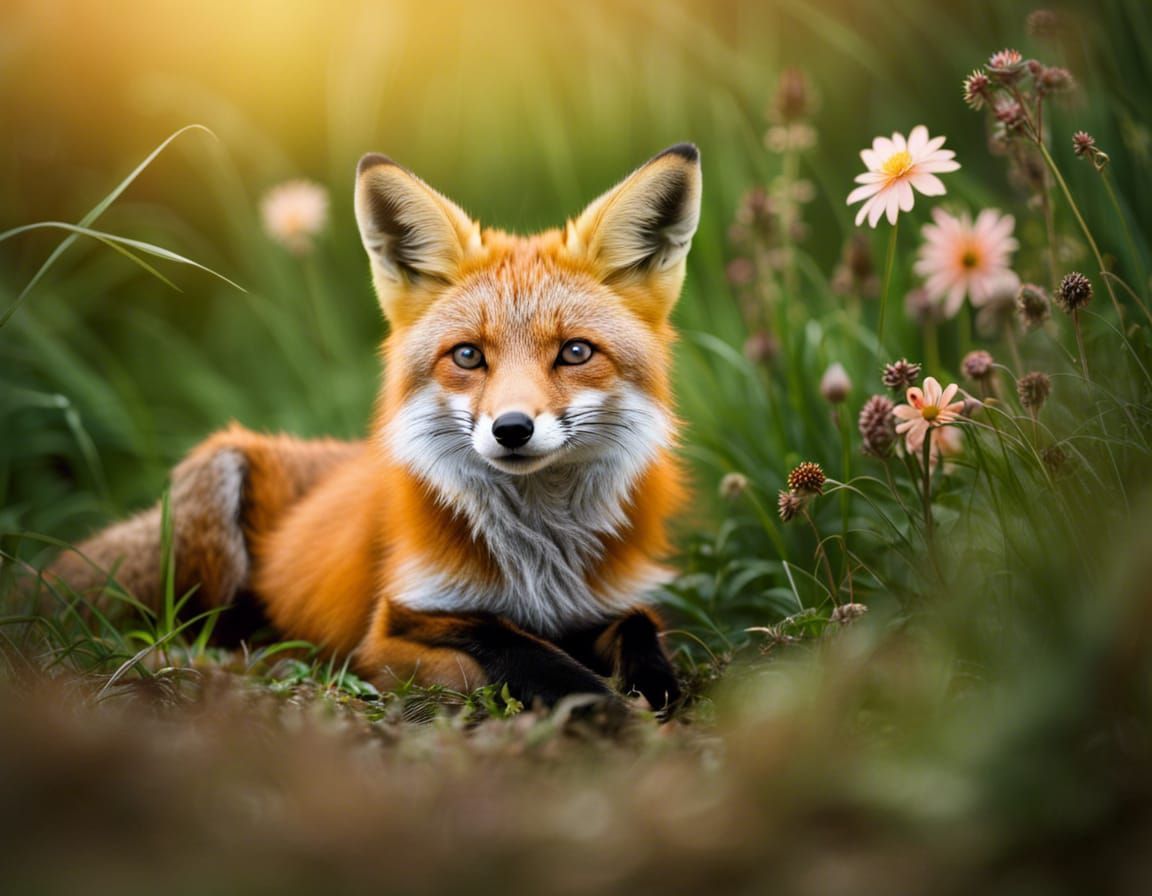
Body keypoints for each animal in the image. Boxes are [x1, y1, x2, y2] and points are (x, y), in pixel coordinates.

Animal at [47, 144, 703, 712]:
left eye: (574, 352)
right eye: (468, 356)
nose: (512, 429)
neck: (538, 568)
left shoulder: (612, 596)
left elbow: (641, 630)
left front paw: (652, 687)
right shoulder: (392, 626)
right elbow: (507, 646)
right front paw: (595, 702)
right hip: (217, 484)